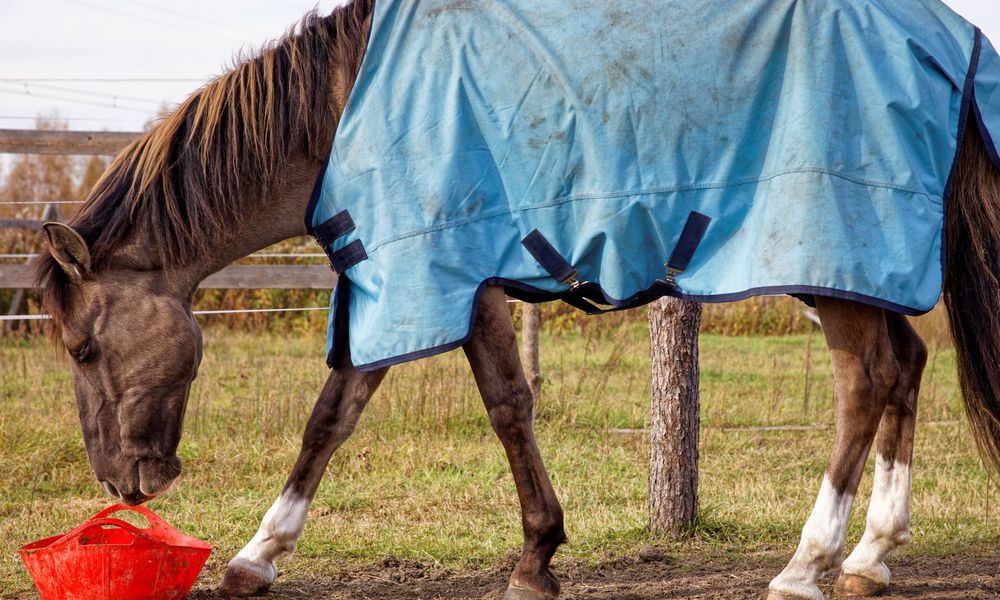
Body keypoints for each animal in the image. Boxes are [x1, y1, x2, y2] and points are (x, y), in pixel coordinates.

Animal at [33, 2, 1000, 599]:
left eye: (82, 349)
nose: (122, 481)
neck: (346, 105)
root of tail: (949, 38)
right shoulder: (409, 279)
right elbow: (350, 415)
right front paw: (257, 558)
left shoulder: (442, 276)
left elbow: (473, 407)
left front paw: (534, 556)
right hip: (854, 265)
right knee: (905, 367)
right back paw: (872, 557)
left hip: (820, 249)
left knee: (865, 381)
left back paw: (807, 564)